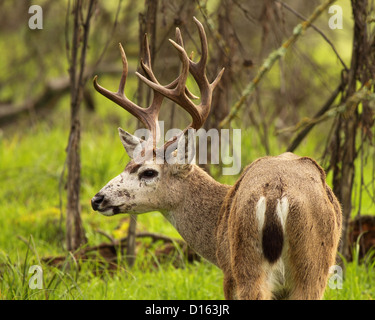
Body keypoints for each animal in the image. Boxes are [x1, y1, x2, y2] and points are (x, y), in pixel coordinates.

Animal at [91, 18, 344, 300]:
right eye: (128, 164)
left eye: (148, 172)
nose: (97, 199)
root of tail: (275, 194)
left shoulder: (227, 269)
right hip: (304, 267)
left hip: (253, 262)